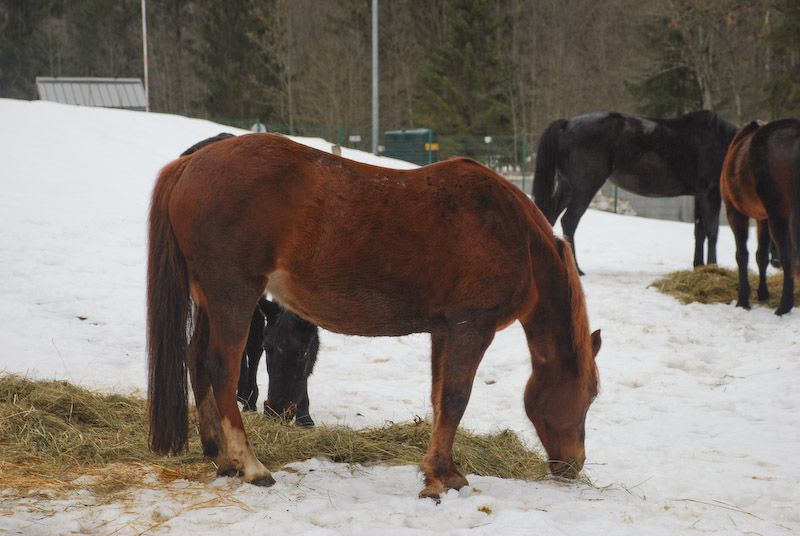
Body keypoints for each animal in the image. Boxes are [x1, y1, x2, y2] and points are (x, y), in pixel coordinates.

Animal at [147, 133, 601, 498]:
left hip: (211, 300)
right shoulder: (471, 328)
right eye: (592, 393)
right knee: (220, 367)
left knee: (195, 359)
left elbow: (439, 398)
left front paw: (440, 471)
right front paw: (441, 480)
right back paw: (251, 466)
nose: (574, 464)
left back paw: (221, 458)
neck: (515, 236)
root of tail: (189, 165)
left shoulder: (444, 331)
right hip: (234, 296)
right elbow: (456, 398)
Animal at [534, 110, 738, 274]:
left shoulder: (698, 195)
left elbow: (699, 231)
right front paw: (713, 268)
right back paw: (576, 268)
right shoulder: (710, 193)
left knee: (549, 215)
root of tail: (567, 124)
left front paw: (699, 266)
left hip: (568, 187)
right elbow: (712, 231)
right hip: (584, 188)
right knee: (569, 221)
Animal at [720, 118, 800, 316]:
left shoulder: (735, 213)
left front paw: (743, 300)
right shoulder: (762, 218)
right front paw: (763, 293)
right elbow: (761, 255)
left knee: (788, 255)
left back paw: (783, 307)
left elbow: (742, 255)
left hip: (779, 216)